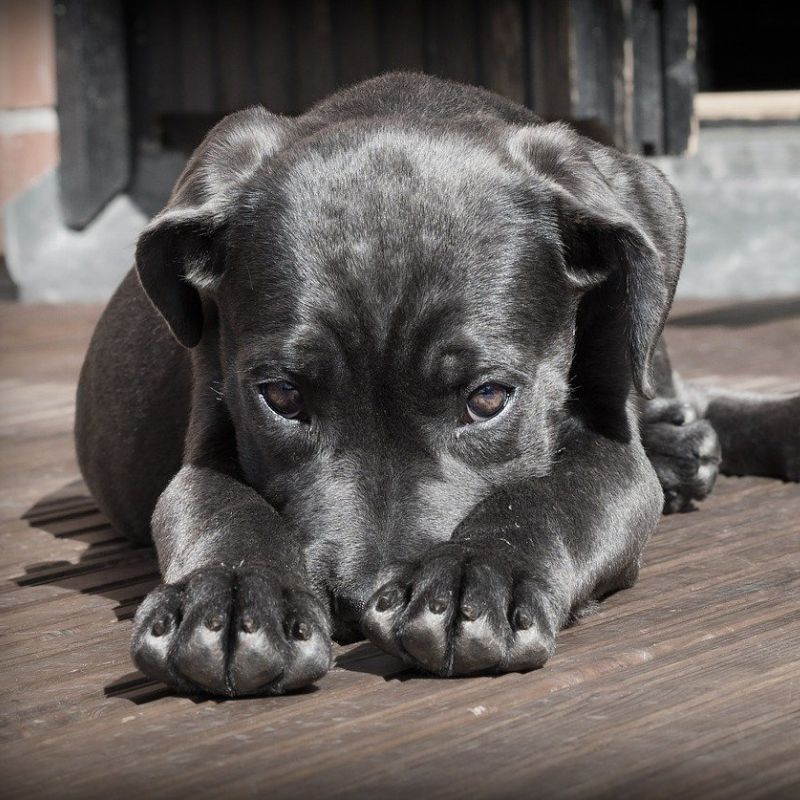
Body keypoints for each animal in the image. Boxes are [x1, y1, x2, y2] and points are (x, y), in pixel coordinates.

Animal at [75, 72, 800, 692]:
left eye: (487, 399)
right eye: (281, 397)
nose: (356, 603)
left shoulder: (612, 447)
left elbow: (550, 496)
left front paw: (476, 578)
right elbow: (220, 505)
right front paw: (231, 596)